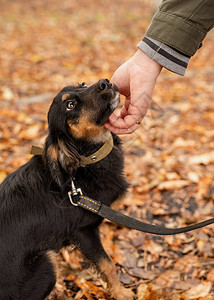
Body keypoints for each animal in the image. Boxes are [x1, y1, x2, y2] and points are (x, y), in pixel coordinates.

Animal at [0, 79, 134, 300]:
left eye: (83, 84)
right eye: (70, 105)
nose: (104, 82)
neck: (86, 163)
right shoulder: (82, 232)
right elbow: (107, 264)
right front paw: (120, 292)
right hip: (46, 262)